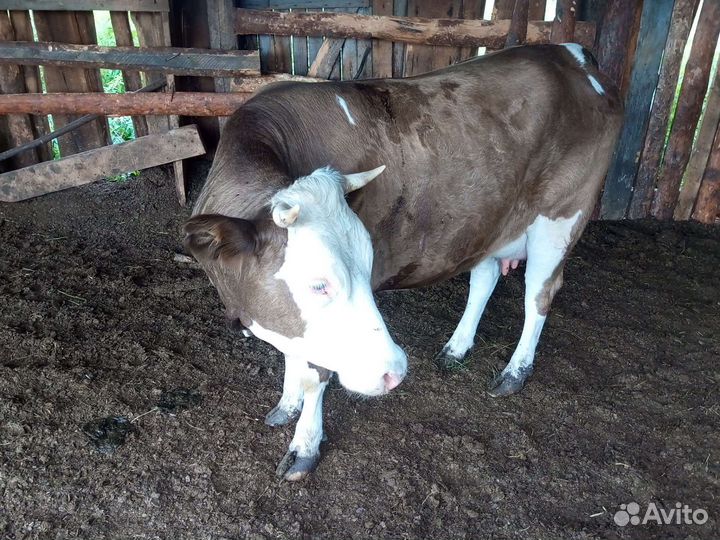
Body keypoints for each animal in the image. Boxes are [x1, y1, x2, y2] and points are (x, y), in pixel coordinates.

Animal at [183, 44, 623, 481]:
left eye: (368, 265)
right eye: (319, 284)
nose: (394, 372)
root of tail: (572, 54)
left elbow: (316, 375)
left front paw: (304, 446)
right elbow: (298, 352)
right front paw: (286, 404)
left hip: (561, 218)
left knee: (539, 295)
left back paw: (515, 372)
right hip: (487, 222)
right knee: (483, 279)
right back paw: (456, 348)